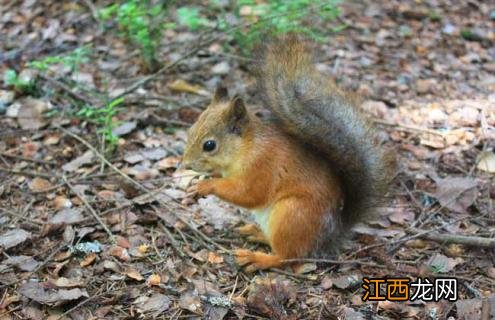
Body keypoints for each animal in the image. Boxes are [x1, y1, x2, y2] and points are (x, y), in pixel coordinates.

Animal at [182, 35, 396, 272]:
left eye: (210, 145)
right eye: (190, 130)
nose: (185, 164)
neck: (245, 149)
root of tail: (329, 235)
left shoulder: (263, 165)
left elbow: (248, 193)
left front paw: (206, 185)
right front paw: (197, 183)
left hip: (291, 216)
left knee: (287, 257)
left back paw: (258, 258)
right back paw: (257, 233)